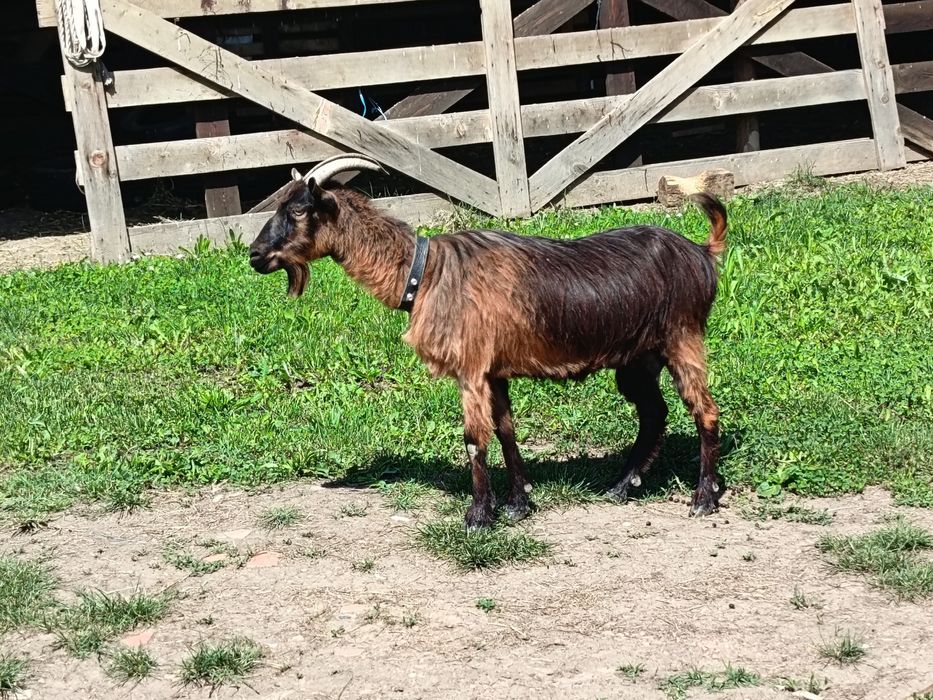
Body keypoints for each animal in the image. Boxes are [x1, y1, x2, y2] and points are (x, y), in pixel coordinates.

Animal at [249, 154, 727, 529]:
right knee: (654, 413)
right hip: (639, 357)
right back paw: (624, 486)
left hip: (682, 336)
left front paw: (479, 516)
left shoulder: (471, 367)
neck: (424, 273)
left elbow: (474, 439)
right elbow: (506, 430)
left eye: (298, 210)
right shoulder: (495, 371)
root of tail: (702, 253)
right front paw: (517, 505)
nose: (254, 255)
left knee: (704, 409)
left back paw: (703, 497)